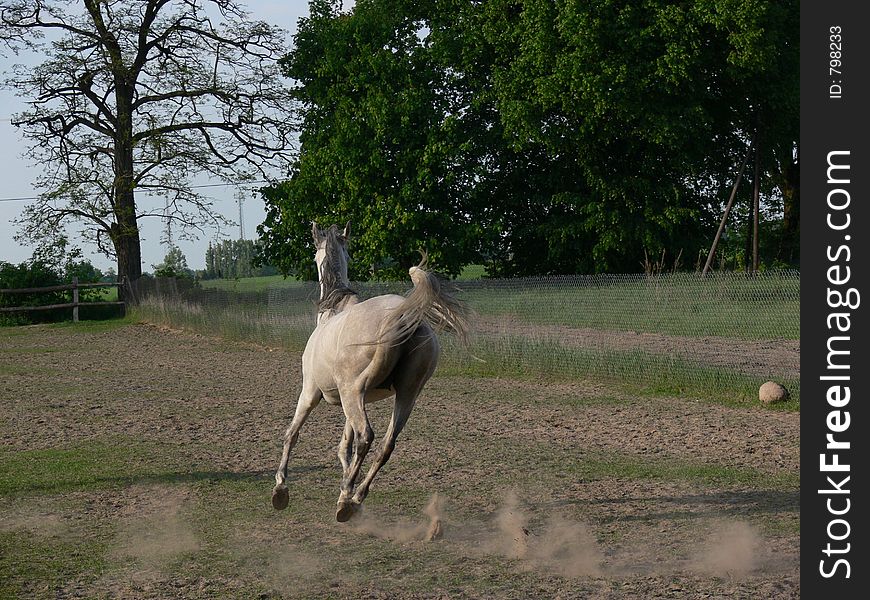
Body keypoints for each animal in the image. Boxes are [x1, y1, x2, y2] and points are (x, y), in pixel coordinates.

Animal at [272, 220, 470, 520]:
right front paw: (346, 483)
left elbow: (292, 434)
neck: (333, 311)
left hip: (353, 393)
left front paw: (280, 488)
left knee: (367, 437)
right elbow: (344, 446)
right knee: (386, 445)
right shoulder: (351, 401)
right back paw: (354, 497)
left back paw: (346, 497)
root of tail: (403, 314)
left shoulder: (310, 393)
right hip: (405, 395)